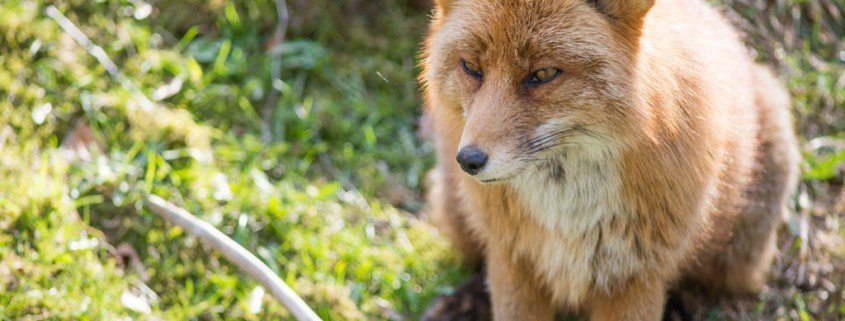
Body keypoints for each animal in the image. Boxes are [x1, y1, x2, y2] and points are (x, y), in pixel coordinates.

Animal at [420, 0, 796, 318]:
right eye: (471, 67)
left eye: (543, 74)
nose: (469, 160)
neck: (569, 214)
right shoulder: (513, 257)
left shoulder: (636, 275)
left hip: (736, 247)